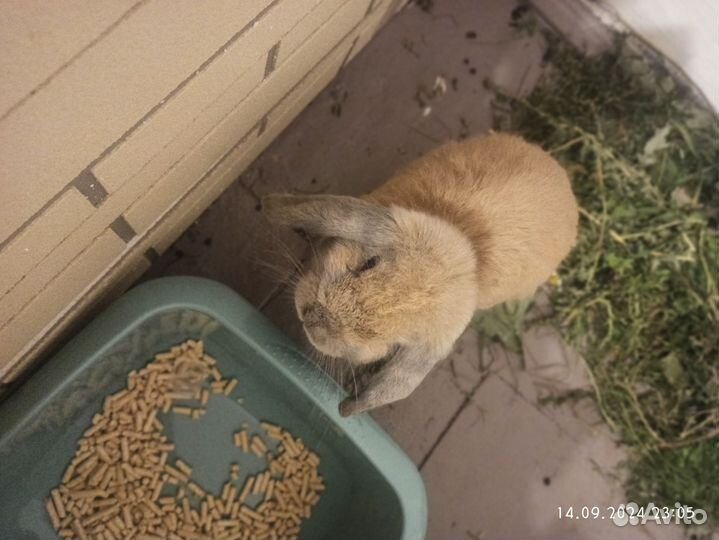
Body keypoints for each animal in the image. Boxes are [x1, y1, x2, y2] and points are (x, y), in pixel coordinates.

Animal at [263, 133, 578, 416]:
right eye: (368, 263)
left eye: (389, 340)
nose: (314, 319)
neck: (472, 251)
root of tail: (565, 184)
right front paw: (273, 208)